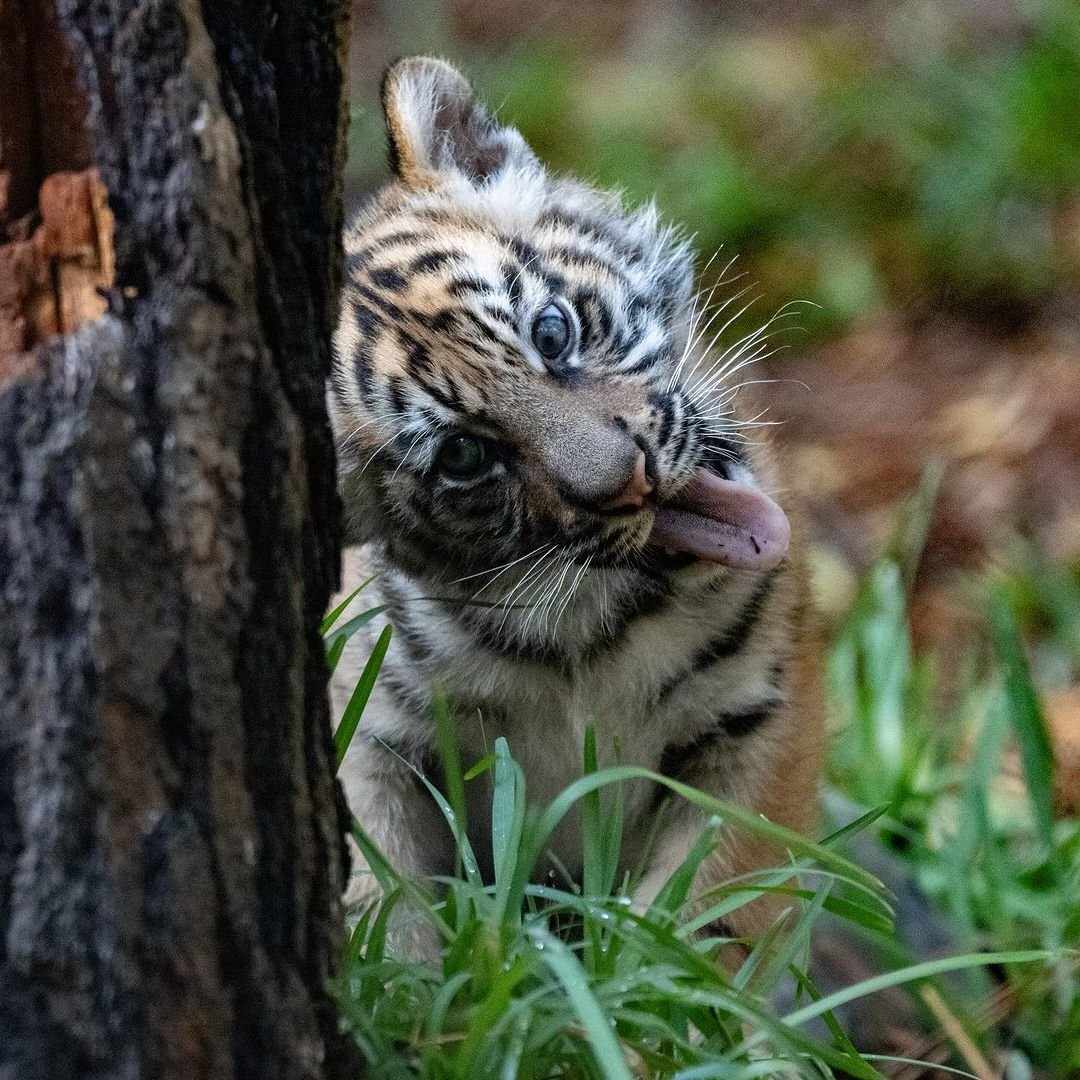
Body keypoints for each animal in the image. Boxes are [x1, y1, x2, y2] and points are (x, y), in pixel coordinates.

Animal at [329, 56, 823, 959]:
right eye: (463, 456)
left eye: (551, 331)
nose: (632, 480)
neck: (592, 633)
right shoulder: (371, 740)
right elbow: (384, 911)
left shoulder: (753, 726)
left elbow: (710, 919)